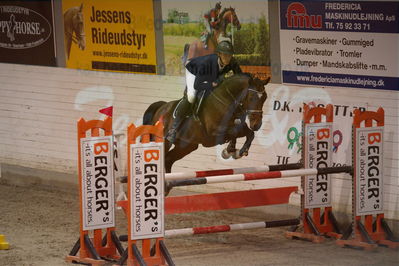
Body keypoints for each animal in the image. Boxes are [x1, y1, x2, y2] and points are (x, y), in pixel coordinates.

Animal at [142, 73, 270, 172]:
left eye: (265, 98)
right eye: (252, 98)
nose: (257, 125)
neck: (225, 100)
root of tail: (161, 107)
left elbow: (249, 133)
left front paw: (235, 151)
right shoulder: (214, 133)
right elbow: (234, 132)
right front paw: (231, 151)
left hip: (186, 146)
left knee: (168, 159)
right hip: (162, 141)